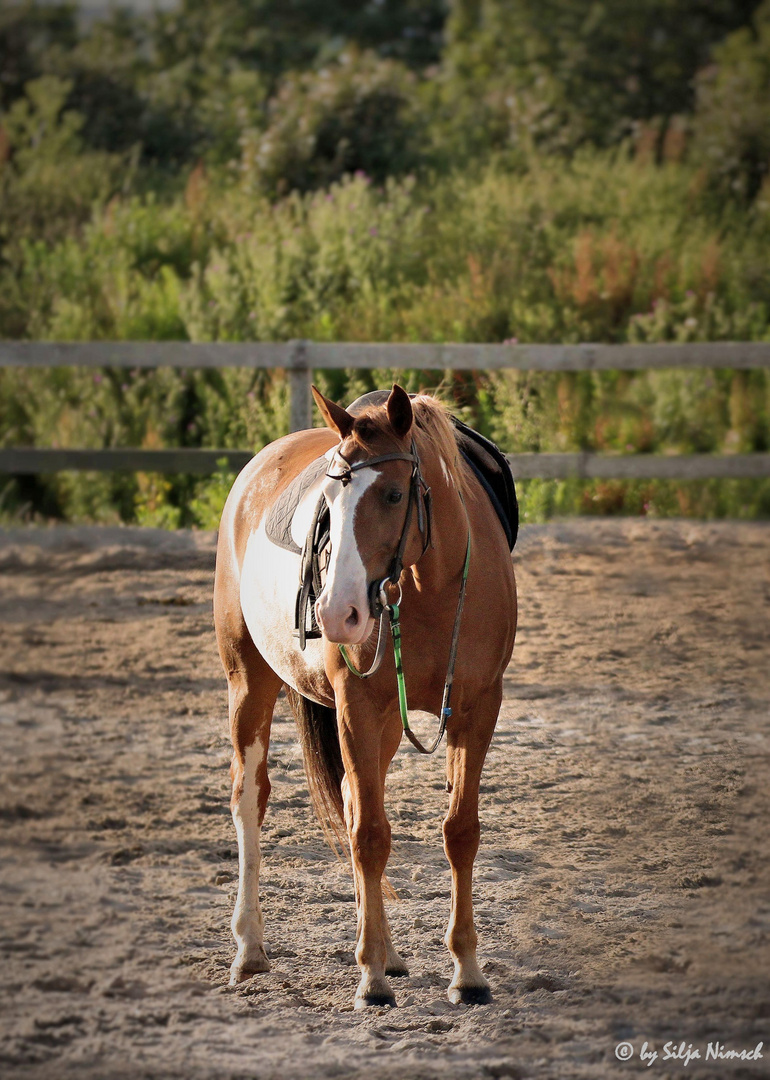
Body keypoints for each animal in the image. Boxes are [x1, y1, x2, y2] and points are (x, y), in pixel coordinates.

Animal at [212, 384, 516, 1006]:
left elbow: (459, 832)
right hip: (248, 680)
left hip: (383, 728)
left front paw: (467, 971)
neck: (431, 585)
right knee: (250, 799)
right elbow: (371, 836)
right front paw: (370, 979)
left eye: (395, 493)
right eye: (328, 502)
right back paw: (250, 948)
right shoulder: (356, 704)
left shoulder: (478, 707)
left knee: (355, 800)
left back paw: (390, 951)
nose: (335, 612)